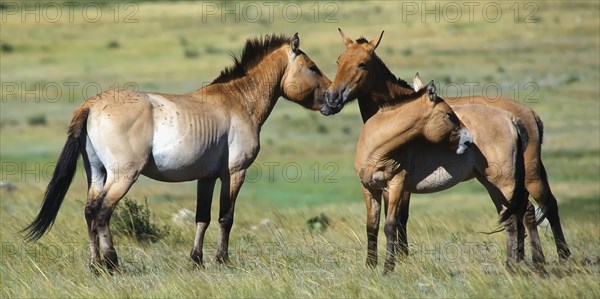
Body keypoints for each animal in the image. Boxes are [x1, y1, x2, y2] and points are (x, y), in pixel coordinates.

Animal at [22, 34, 332, 274]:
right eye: (313, 68)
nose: (334, 99)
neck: (239, 101)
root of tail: (92, 105)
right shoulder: (234, 173)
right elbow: (226, 218)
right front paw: (222, 260)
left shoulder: (206, 178)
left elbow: (202, 218)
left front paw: (196, 261)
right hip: (122, 176)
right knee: (102, 212)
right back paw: (112, 264)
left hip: (97, 174)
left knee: (89, 212)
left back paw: (95, 265)